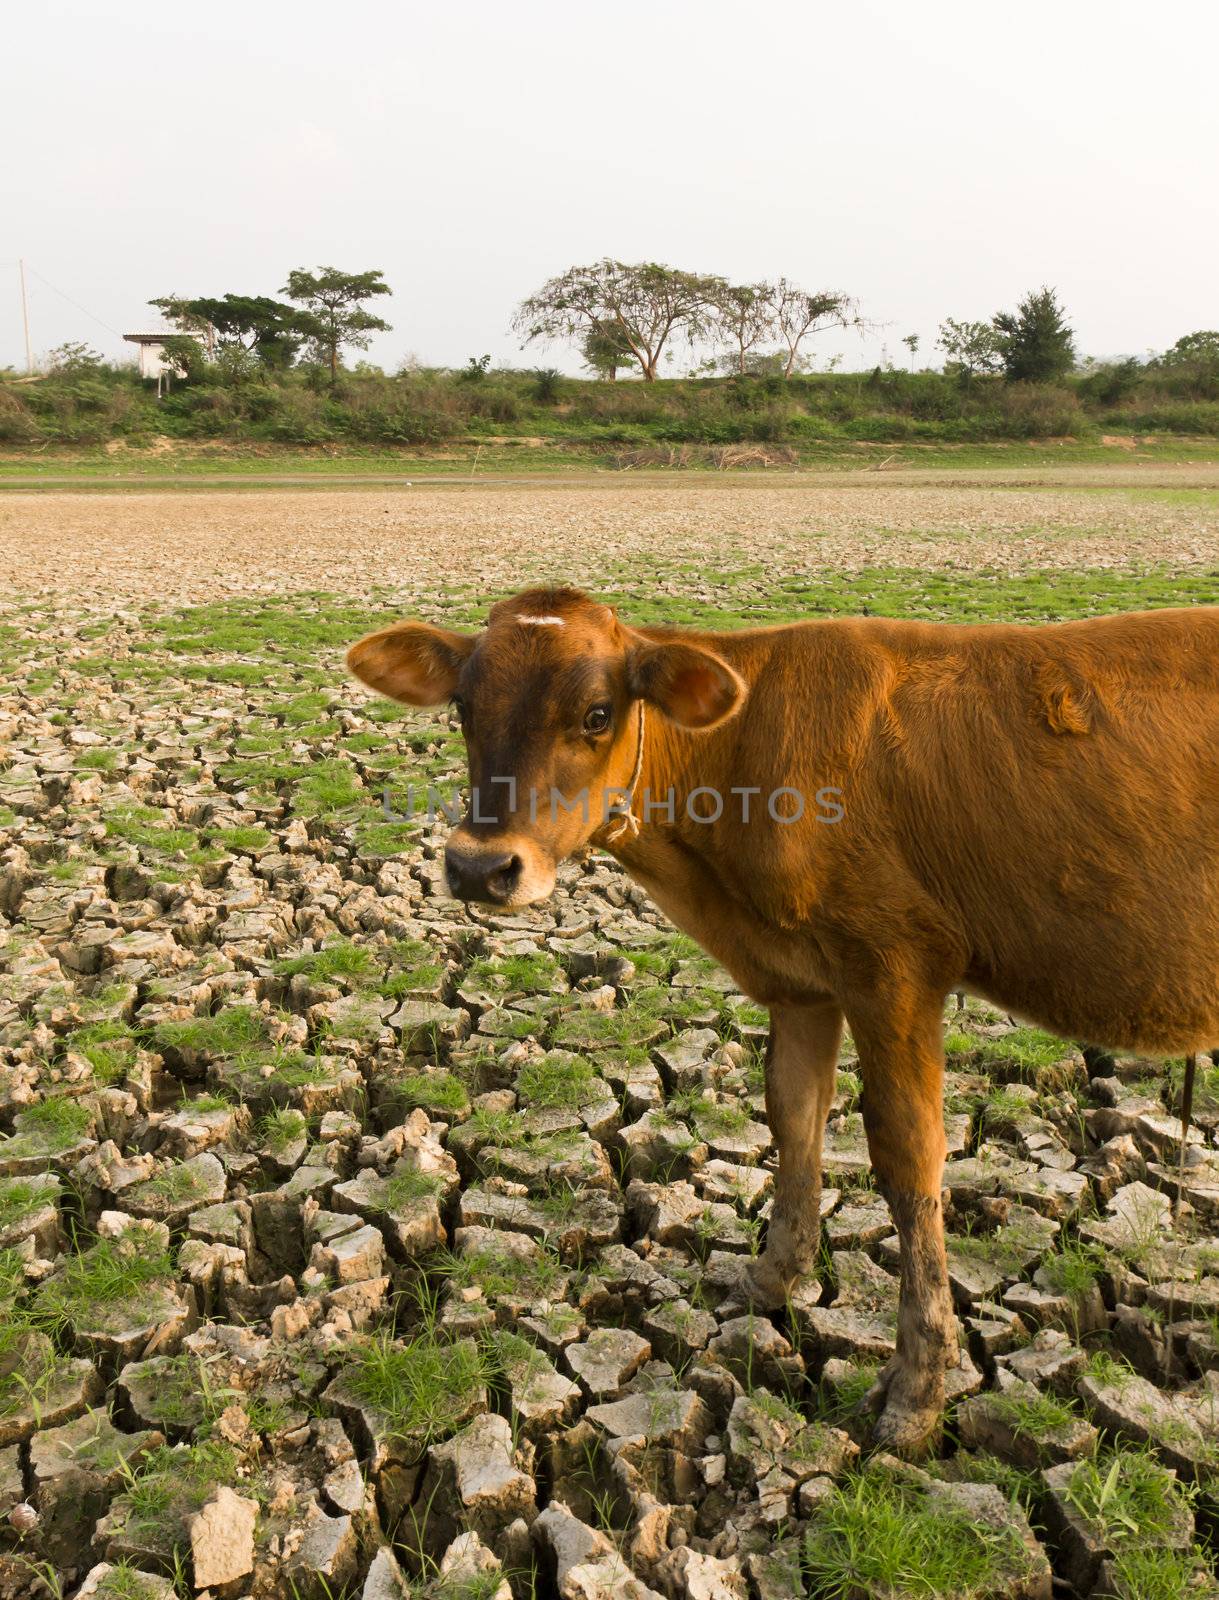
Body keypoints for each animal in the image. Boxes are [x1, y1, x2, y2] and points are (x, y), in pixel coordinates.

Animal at [343, 592, 1215, 1465]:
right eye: (462, 707)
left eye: (595, 713)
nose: (477, 868)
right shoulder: (801, 985)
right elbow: (792, 1118)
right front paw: (772, 1277)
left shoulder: (894, 964)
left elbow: (908, 1160)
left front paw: (918, 1387)